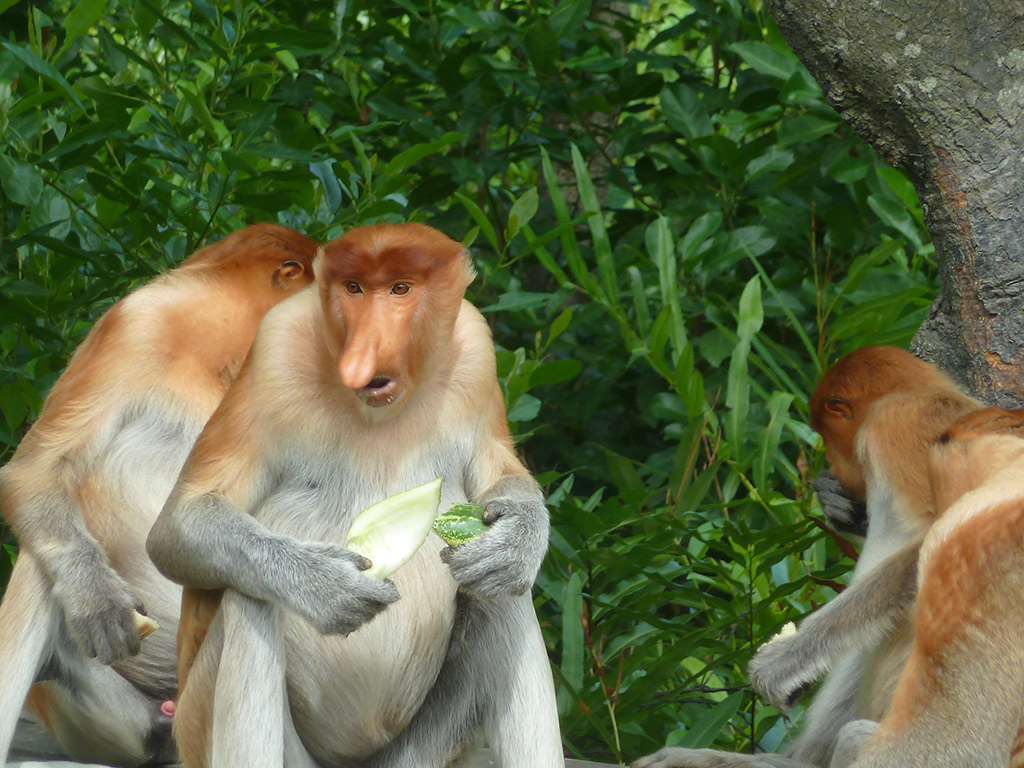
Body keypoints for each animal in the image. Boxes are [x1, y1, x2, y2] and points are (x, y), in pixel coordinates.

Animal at [0, 224, 317, 766]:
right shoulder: (133, 325)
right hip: (108, 721)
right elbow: (37, 469)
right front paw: (99, 601)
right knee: (42, 558)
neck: (213, 345)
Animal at [145, 222, 564, 768]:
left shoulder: (475, 348)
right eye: (354, 289)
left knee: (504, 593)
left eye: (400, 289)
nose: (367, 352)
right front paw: (327, 585)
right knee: (250, 596)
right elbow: (179, 524)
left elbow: (499, 475)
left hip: (420, 750)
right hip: (202, 723)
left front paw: (518, 539)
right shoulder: (274, 346)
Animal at [633, 346, 980, 768]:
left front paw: (778, 667)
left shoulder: (901, 424)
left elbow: (945, 531)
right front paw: (839, 505)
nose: (831, 462)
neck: (918, 392)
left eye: (826, 434)